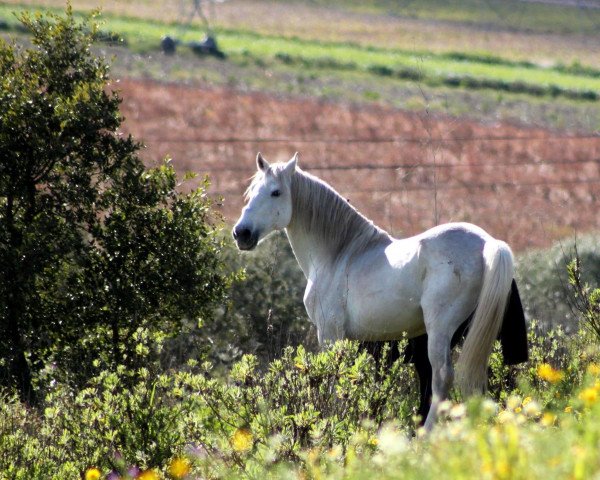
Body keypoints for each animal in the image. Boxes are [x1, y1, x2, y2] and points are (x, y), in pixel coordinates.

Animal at [234, 152, 516, 430]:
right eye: (251, 191)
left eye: (276, 192)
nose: (241, 233)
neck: (339, 254)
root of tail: (487, 243)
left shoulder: (329, 332)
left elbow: (332, 378)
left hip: (441, 328)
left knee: (442, 377)